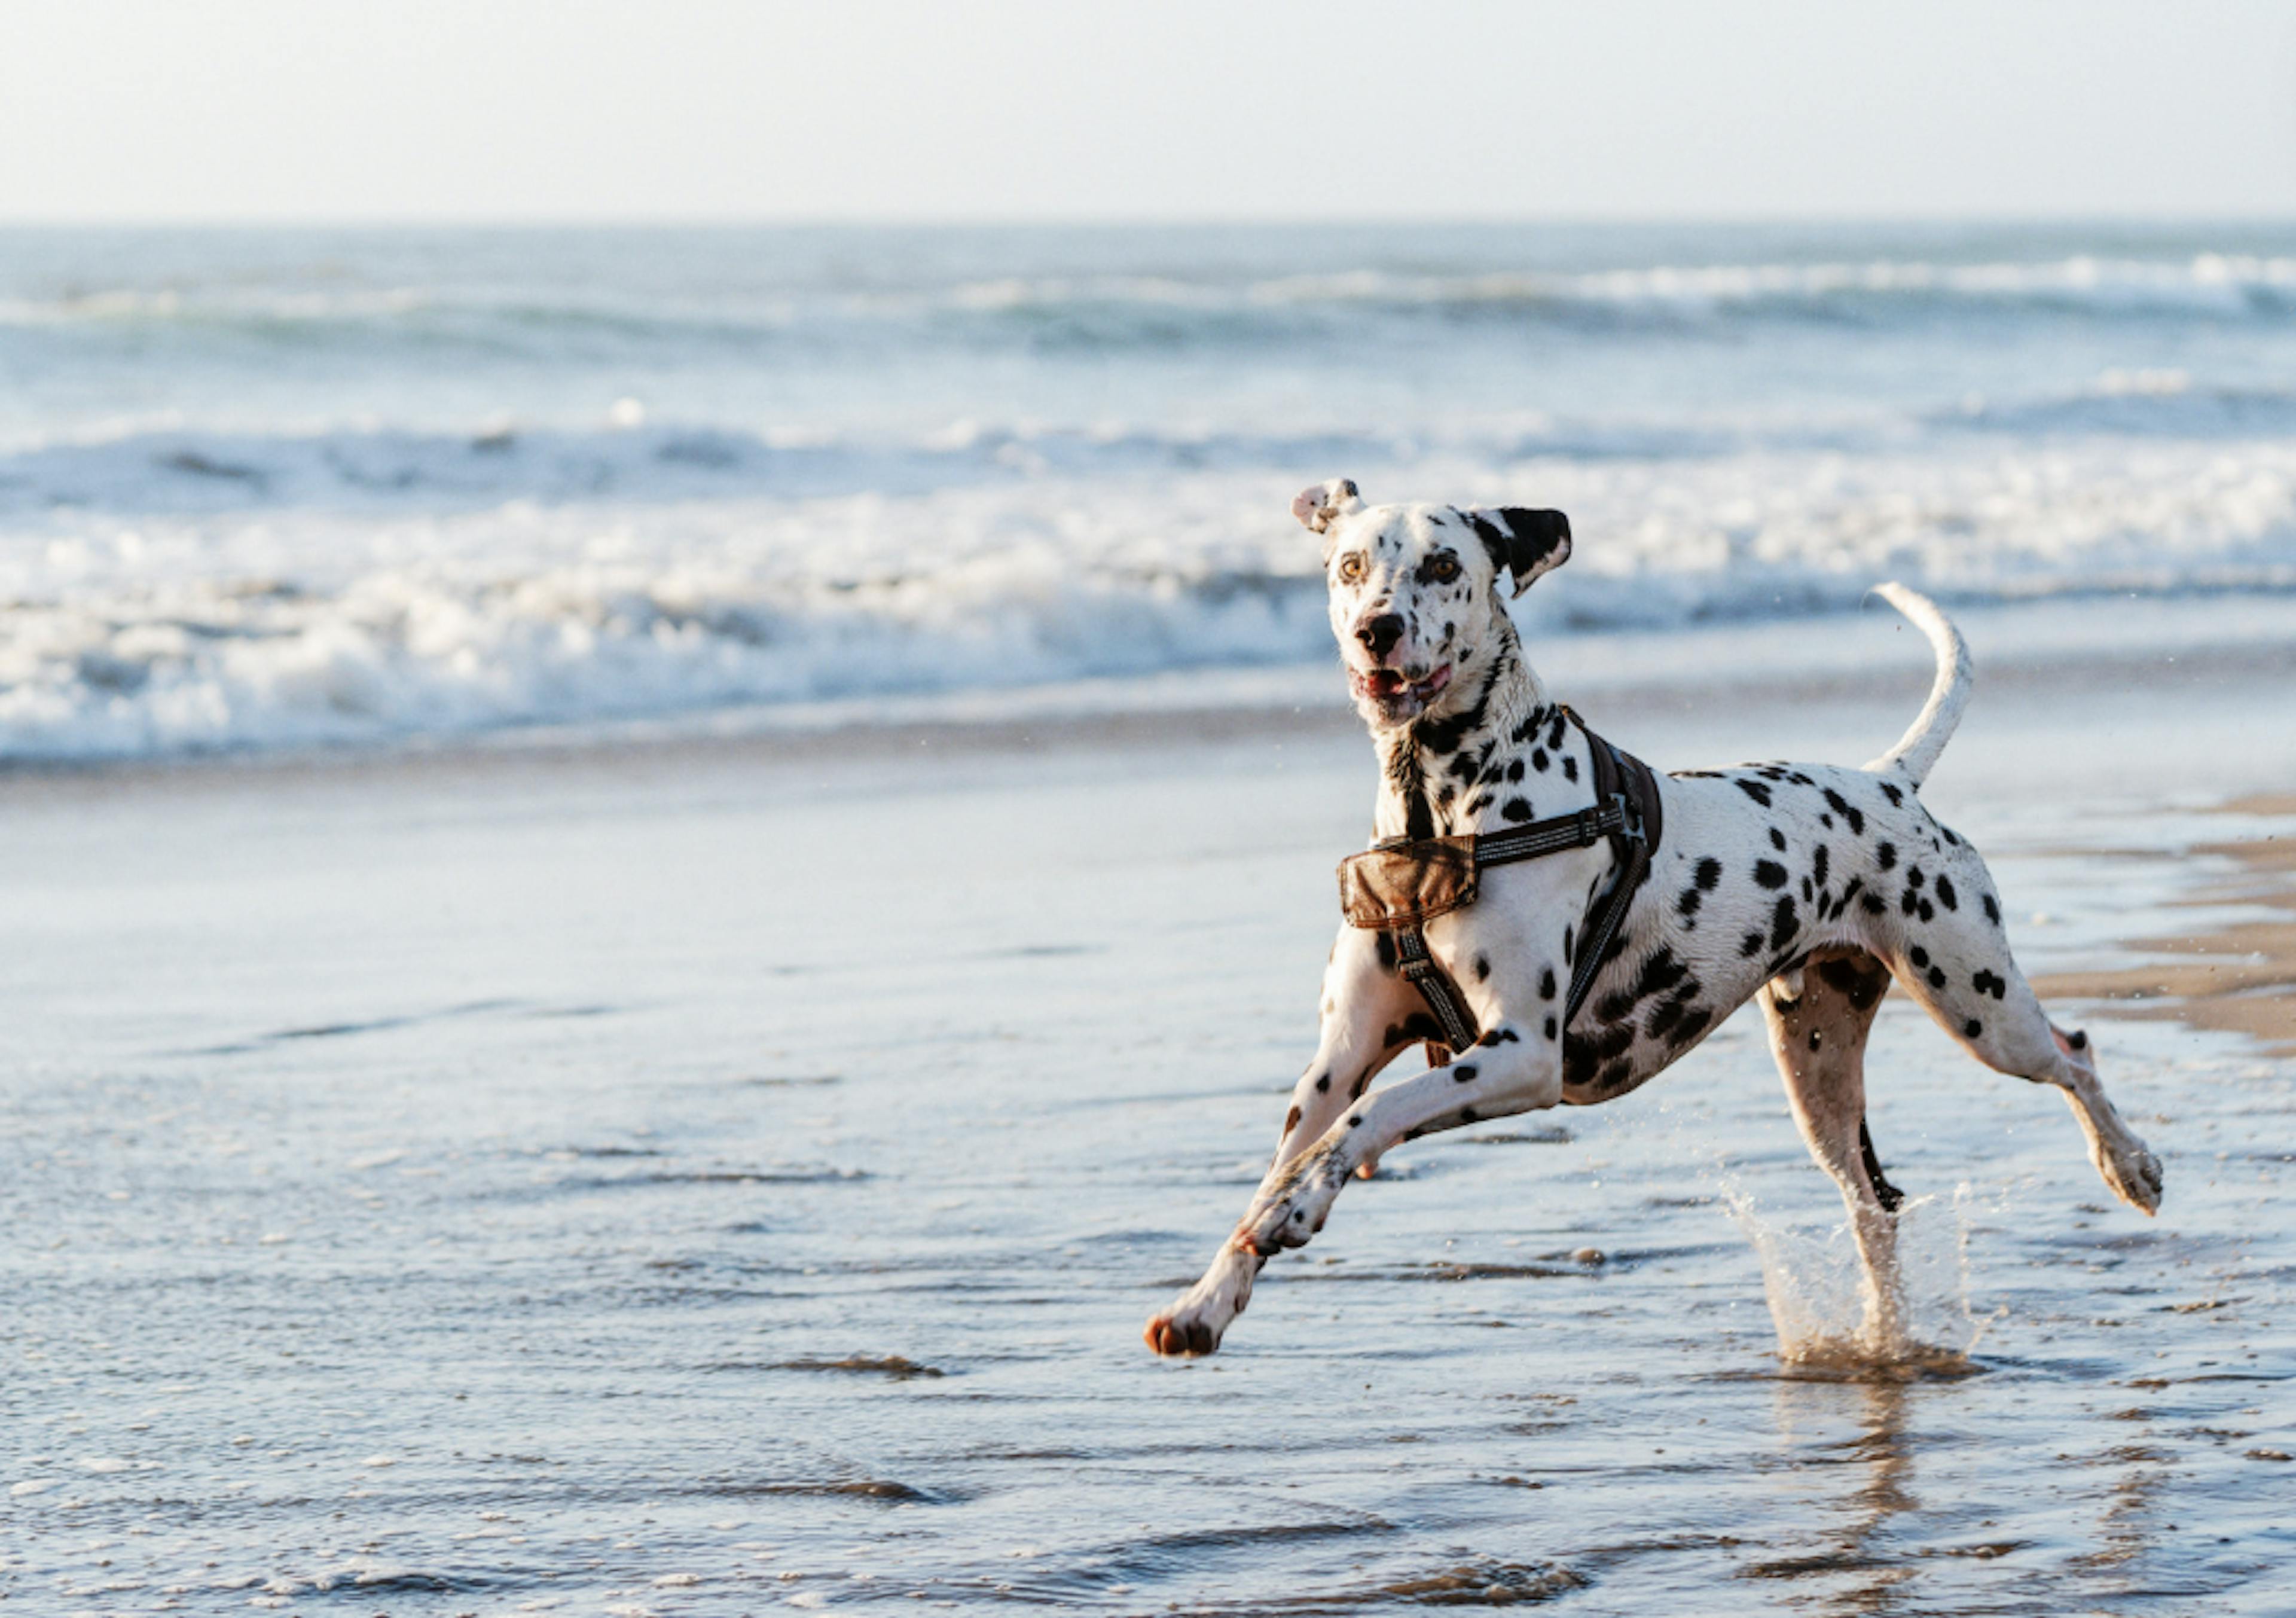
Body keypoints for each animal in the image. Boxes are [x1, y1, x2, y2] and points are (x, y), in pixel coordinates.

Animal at [1148, 486, 2167, 1358]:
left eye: (1442, 565)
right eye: (1351, 566)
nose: (1377, 630)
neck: (1438, 811)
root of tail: (1887, 780)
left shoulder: (1520, 1054)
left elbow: (1373, 1115)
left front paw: (1300, 1206)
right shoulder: (1337, 1058)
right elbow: (1297, 1147)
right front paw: (1209, 1298)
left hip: (1979, 1003)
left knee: (2074, 1055)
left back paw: (2131, 1166)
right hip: (1820, 1068)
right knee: (1873, 1201)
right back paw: (1883, 1337)